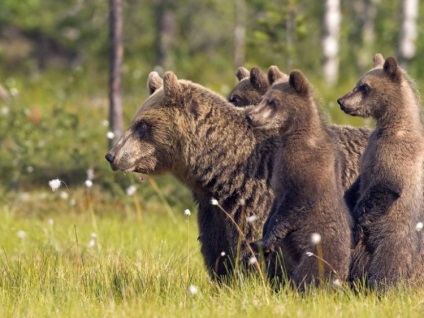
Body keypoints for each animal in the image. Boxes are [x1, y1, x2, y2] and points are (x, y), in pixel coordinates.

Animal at [105, 71, 278, 280]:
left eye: (143, 125)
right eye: (134, 122)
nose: (112, 155)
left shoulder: (254, 195)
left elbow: (251, 240)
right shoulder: (213, 210)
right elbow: (216, 246)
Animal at [247, 70, 352, 288]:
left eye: (273, 101)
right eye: (263, 98)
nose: (250, 116)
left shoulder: (305, 172)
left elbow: (292, 206)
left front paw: (264, 241)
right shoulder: (279, 172)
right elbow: (275, 207)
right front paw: (261, 238)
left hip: (318, 251)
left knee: (309, 274)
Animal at [338, 54, 424, 288]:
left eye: (364, 87)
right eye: (358, 83)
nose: (341, 101)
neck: (391, 125)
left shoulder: (395, 154)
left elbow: (386, 186)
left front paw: (356, 223)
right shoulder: (370, 151)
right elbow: (359, 183)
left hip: (394, 234)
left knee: (388, 264)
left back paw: (382, 286)